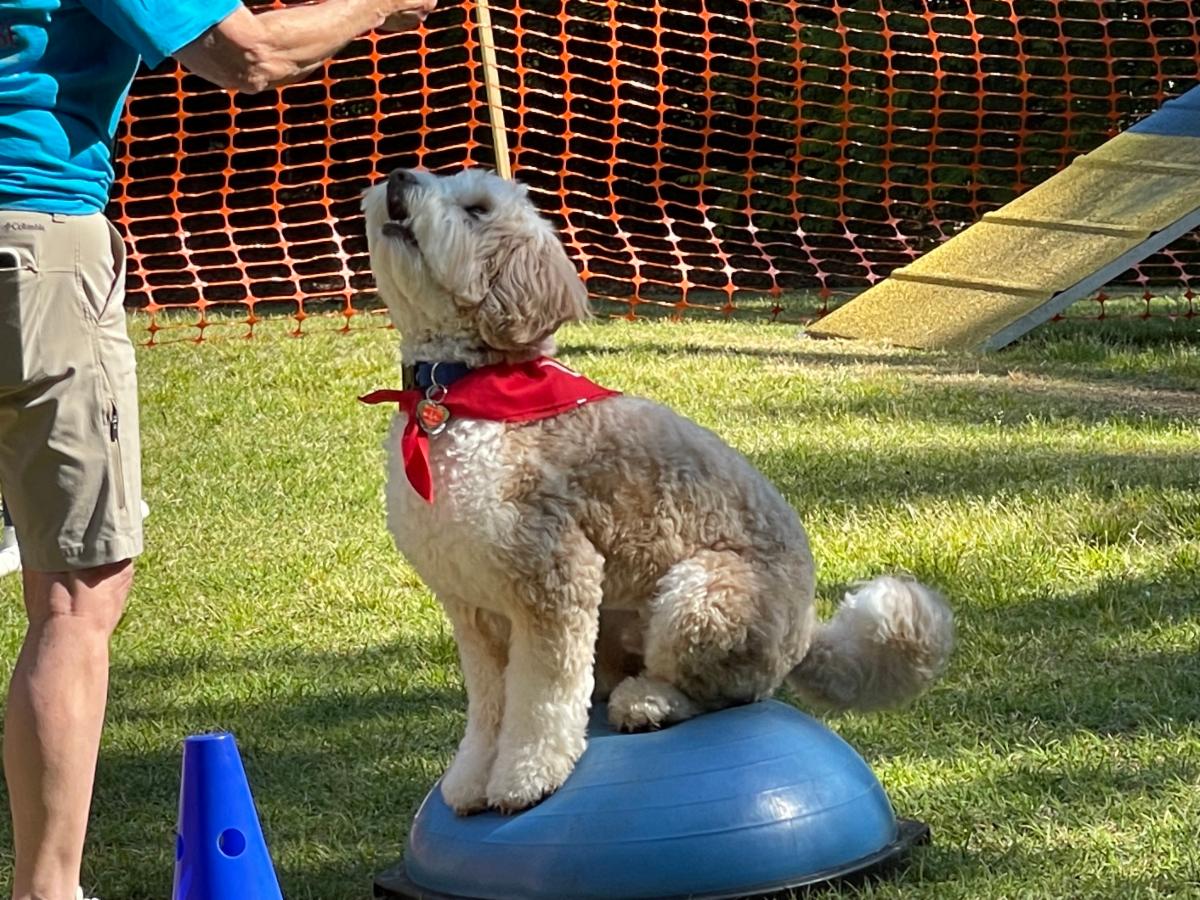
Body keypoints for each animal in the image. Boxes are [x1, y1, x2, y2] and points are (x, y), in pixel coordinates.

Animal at [361, 168, 954, 816]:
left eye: (476, 209)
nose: (399, 176)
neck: (456, 397)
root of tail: (804, 637)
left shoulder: (553, 584)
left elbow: (539, 702)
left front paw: (525, 778)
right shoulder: (473, 609)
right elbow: (489, 707)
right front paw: (470, 780)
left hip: (702, 595)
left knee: (726, 693)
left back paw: (649, 703)